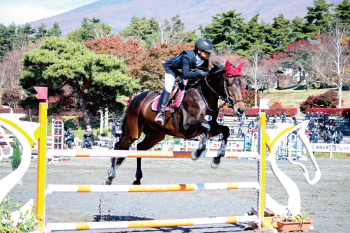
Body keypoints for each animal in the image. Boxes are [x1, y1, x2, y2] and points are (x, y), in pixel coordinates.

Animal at [105, 60, 245, 186]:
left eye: (241, 84)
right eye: (229, 83)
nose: (241, 109)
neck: (203, 97)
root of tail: (135, 99)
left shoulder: (212, 128)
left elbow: (225, 130)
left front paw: (216, 160)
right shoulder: (187, 127)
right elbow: (206, 125)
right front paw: (197, 153)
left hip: (156, 135)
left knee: (140, 148)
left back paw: (137, 179)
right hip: (133, 132)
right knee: (118, 146)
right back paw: (110, 176)